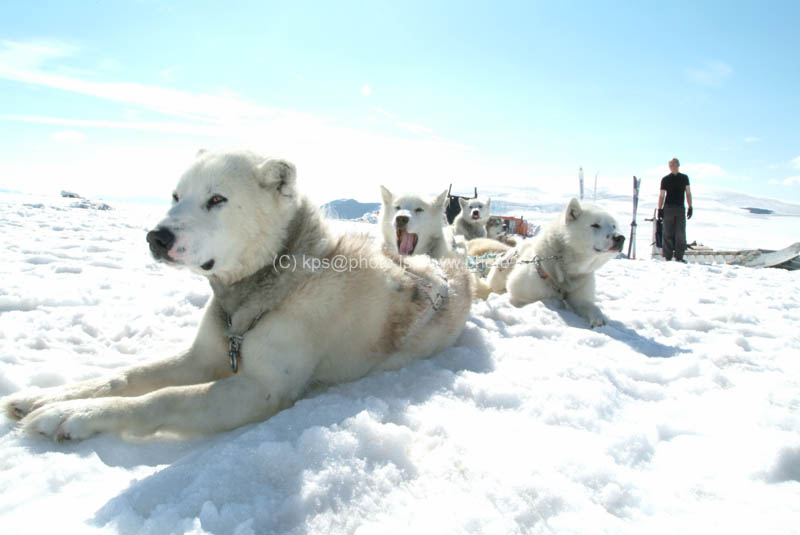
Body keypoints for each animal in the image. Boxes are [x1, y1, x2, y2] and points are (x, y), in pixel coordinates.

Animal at [4, 149, 473, 441]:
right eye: (176, 196)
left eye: (217, 199)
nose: (156, 237)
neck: (277, 282)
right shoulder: (201, 358)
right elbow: (128, 376)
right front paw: (48, 397)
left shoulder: (260, 389)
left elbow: (162, 398)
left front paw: (79, 415)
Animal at [486, 198, 624, 327]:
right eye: (595, 225)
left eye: (613, 226)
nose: (620, 238)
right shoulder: (518, 291)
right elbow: (548, 298)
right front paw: (558, 302)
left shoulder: (580, 296)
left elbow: (591, 307)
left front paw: (598, 318)